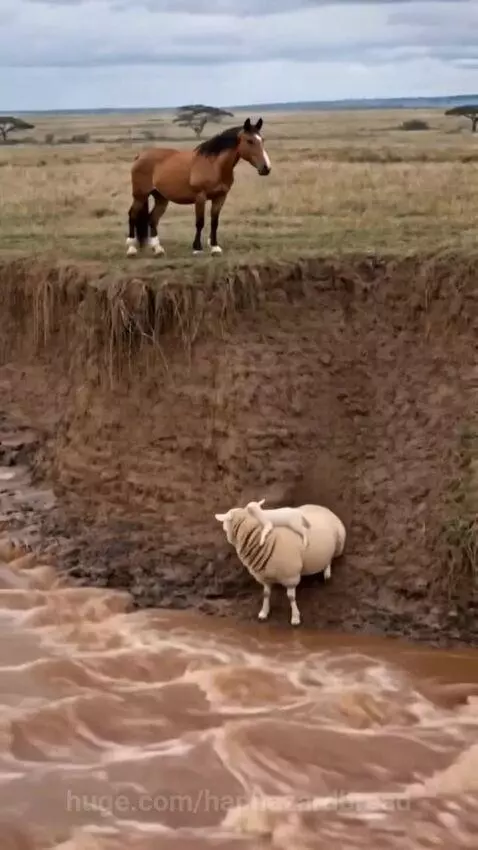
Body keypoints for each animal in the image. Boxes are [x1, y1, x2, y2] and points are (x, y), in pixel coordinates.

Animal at [125, 117, 271, 258]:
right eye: (249, 141)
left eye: (262, 140)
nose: (266, 168)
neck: (214, 165)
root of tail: (140, 156)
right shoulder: (200, 197)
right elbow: (200, 222)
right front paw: (197, 249)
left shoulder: (220, 197)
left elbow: (214, 222)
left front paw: (215, 248)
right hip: (140, 195)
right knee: (132, 214)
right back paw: (131, 248)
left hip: (161, 198)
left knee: (152, 219)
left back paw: (158, 249)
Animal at [214, 502, 346, 626]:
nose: (225, 532)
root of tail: (323, 507)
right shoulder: (264, 576)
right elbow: (266, 594)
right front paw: (263, 613)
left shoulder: (291, 576)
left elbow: (291, 597)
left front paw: (295, 617)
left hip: (339, 545)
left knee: (330, 559)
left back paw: (327, 573)